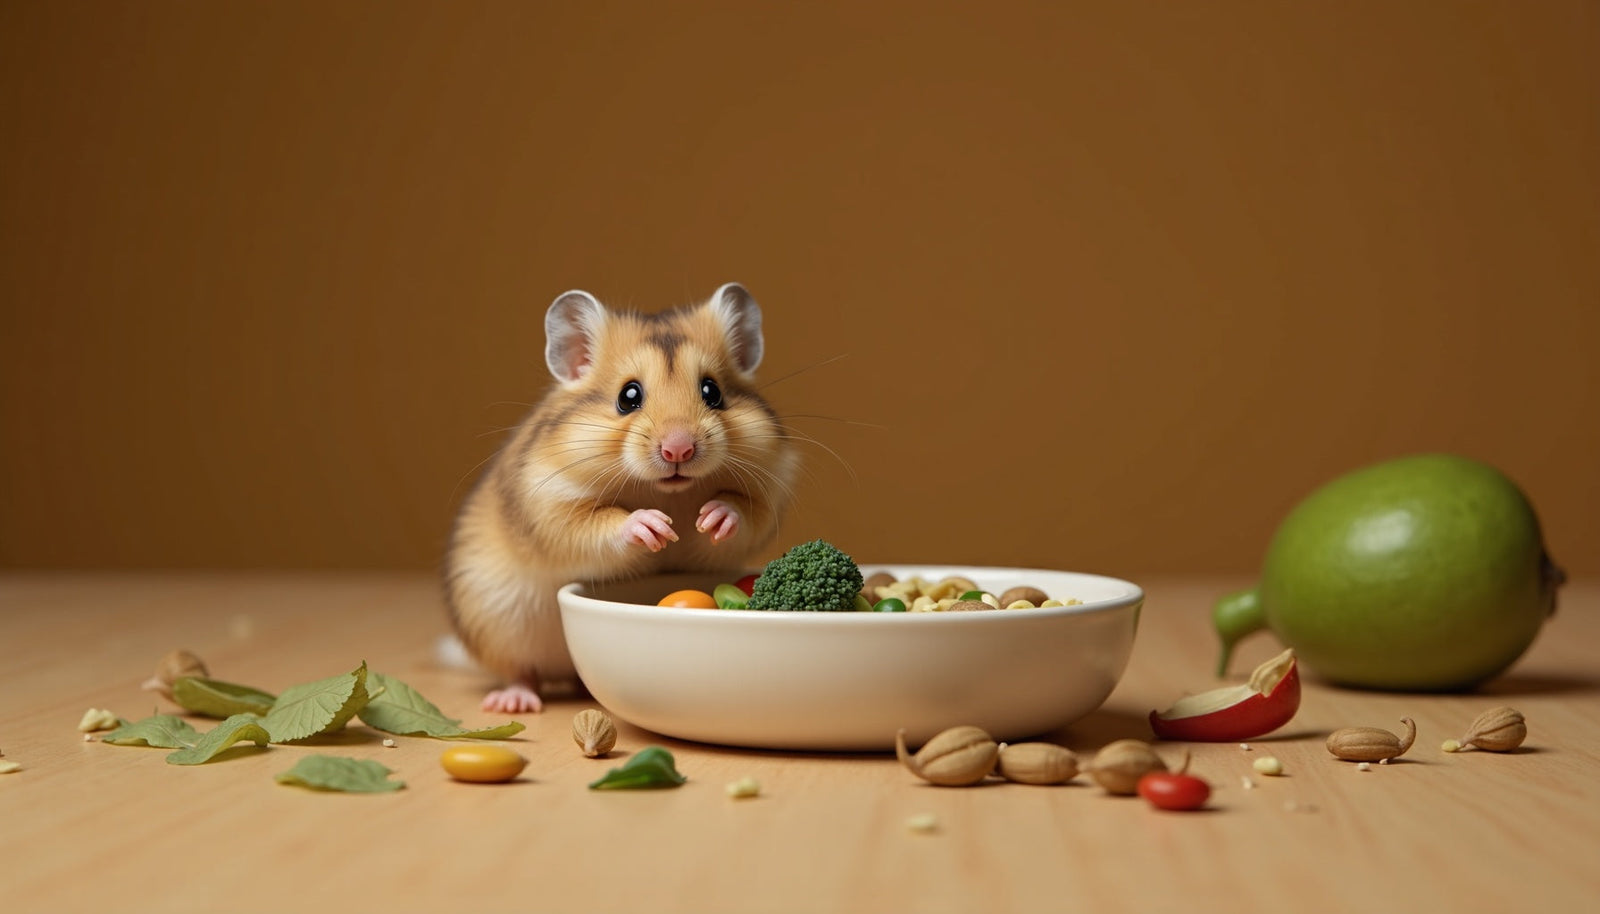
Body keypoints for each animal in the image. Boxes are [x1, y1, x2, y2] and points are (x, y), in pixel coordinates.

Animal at [443, 282, 800, 713]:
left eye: (712, 392)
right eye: (628, 396)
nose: (678, 449)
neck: (666, 491)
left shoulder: (768, 489)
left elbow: (743, 514)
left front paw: (715, 515)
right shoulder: (549, 506)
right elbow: (597, 522)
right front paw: (653, 526)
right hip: (497, 624)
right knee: (520, 670)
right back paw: (513, 702)